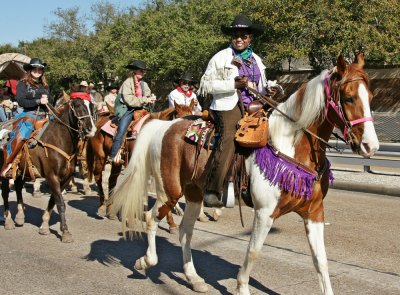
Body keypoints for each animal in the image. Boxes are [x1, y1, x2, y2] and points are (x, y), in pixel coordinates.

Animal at [0, 98, 96, 244]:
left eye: (92, 107)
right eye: (78, 106)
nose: (91, 129)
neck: (60, 139)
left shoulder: (64, 178)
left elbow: (53, 200)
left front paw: (44, 226)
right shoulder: (52, 176)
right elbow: (60, 203)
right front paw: (65, 232)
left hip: (22, 171)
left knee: (18, 187)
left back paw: (20, 216)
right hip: (4, 172)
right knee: (5, 193)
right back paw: (9, 221)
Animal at [111, 52, 380, 294]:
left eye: (370, 96)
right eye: (348, 98)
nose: (371, 146)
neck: (290, 145)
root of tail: (164, 126)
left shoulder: (314, 213)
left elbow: (321, 262)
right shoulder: (265, 212)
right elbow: (253, 251)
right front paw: (241, 287)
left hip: (194, 195)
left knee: (186, 232)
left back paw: (194, 278)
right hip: (169, 190)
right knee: (150, 218)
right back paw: (146, 261)